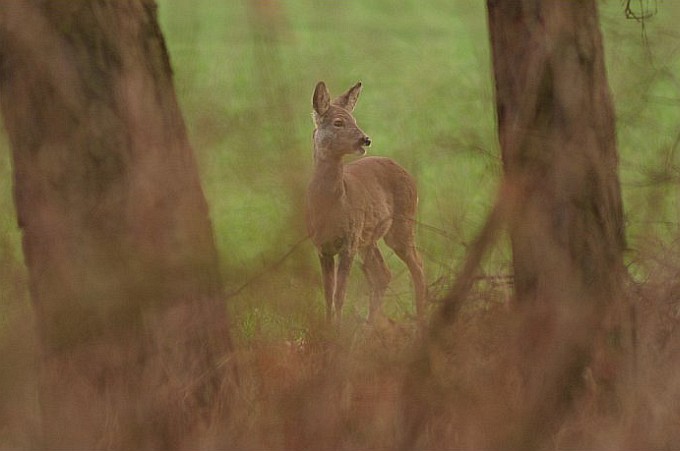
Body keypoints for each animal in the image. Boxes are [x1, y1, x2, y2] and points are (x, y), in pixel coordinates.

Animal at [306, 82, 424, 324]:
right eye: (338, 122)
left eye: (354, 119)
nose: (365, 140)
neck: (331, 203)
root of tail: (407, 173)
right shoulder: (322, 246)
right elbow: (327, 295)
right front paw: (328, 329)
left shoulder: (349, 241)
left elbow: (340, 295)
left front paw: (338, 331)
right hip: (369, 238)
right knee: (382, 274)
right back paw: (369, 328)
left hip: (402, 224)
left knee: (418, 267)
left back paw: (421, 321)